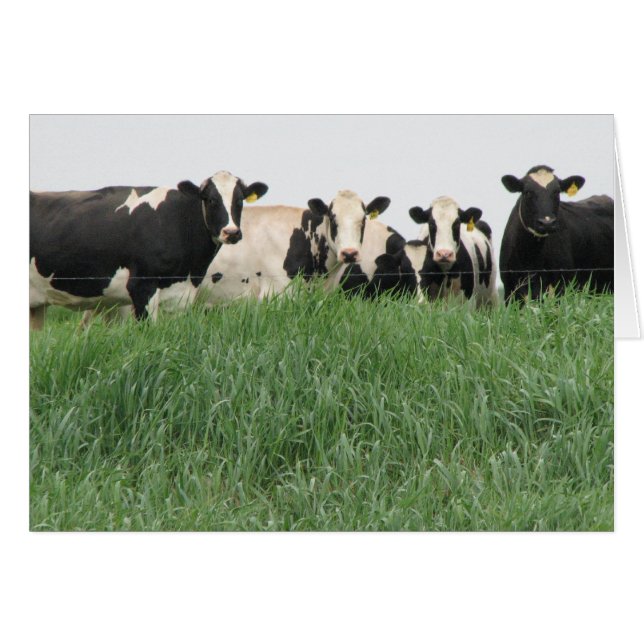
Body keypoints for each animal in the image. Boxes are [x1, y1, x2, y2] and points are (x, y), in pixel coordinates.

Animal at [499, 165, 614, 303]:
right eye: (528, 192)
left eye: (557, 192)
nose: (547, 223)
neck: (530, 258)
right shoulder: (510, 291)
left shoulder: (562, 287)